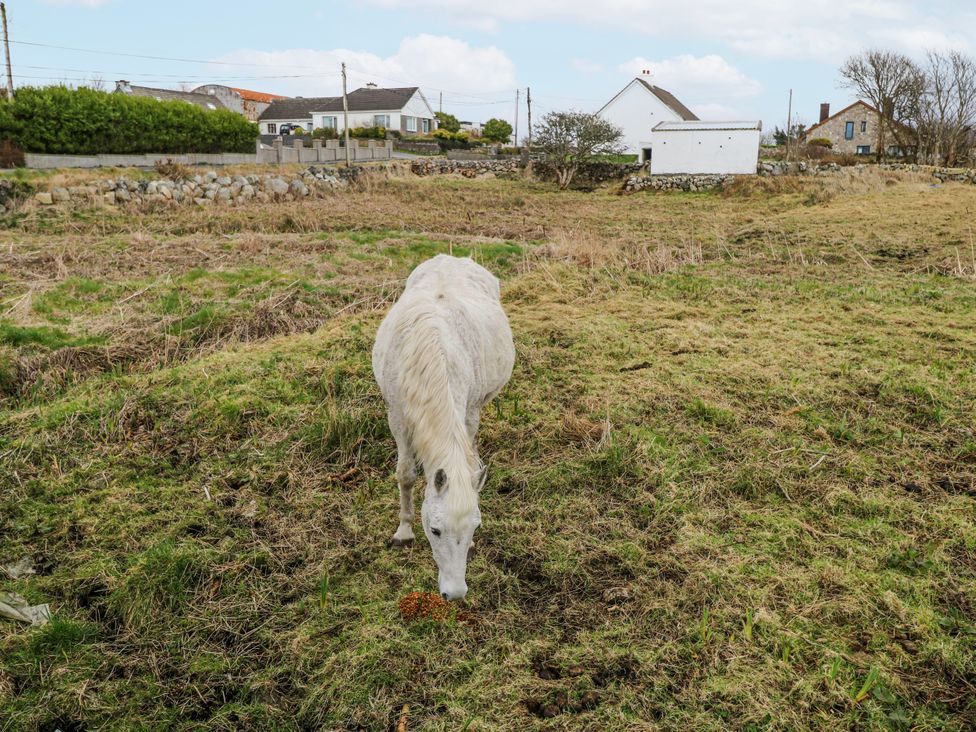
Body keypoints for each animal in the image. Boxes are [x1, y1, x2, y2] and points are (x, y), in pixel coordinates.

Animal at [372, 255, 515, 601]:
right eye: (435, 530)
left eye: (476, 527)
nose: (456, 593)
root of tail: (452, 257)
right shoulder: (397, 417)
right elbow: (406, 475)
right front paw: (404, 532)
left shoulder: (469, 411)